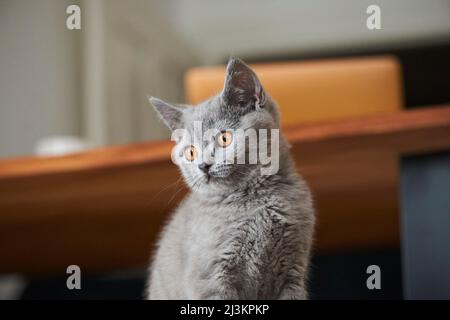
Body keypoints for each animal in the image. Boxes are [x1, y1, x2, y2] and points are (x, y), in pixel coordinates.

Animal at [146, 58, 314, 300]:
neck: (253, 202)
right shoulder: (211, 279)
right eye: (190, 152)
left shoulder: (293, 270)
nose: (203, 165)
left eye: (224, 138)